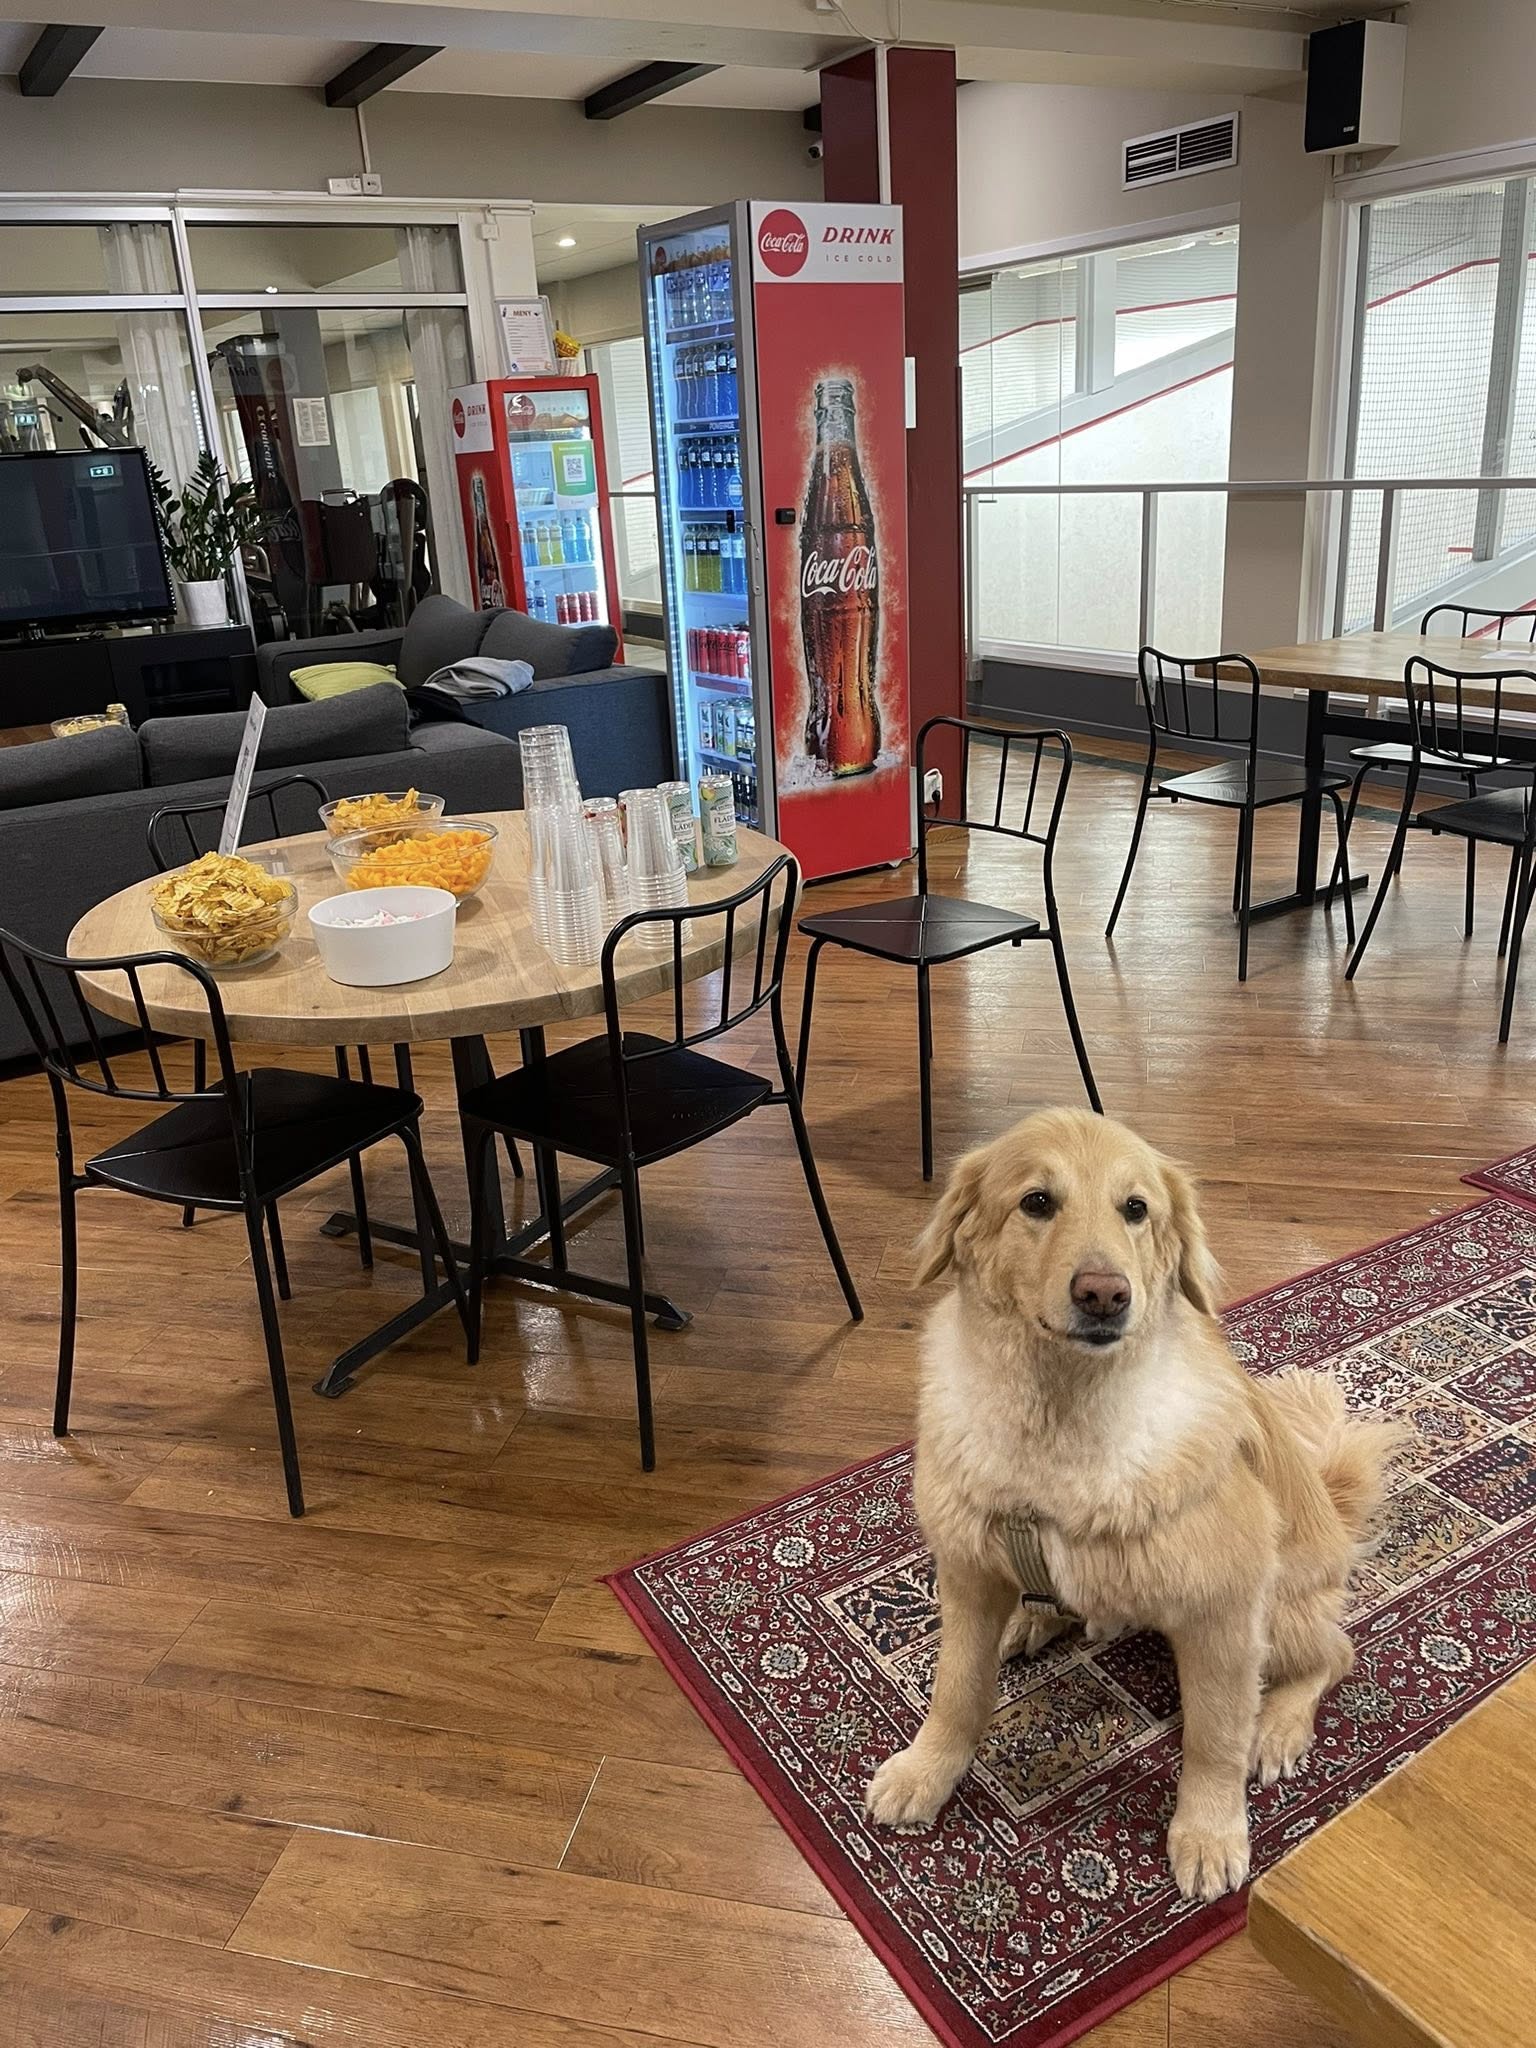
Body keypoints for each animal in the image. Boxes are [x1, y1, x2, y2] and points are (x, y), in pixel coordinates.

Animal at [865, 1107, 1400, 1902]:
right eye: (1037, 1202)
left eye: (1136, 1209)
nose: (1104, 1293)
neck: (1060, 1423)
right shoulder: (968, 1573)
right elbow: (956, 1689)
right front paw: (928, 1770)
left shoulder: (1224, 1614)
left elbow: (1213, 1737)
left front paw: (1208, 1832)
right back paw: (1034, 1619)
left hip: (1283, 1612)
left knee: (1334, 1655)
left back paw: (1277, 1728)